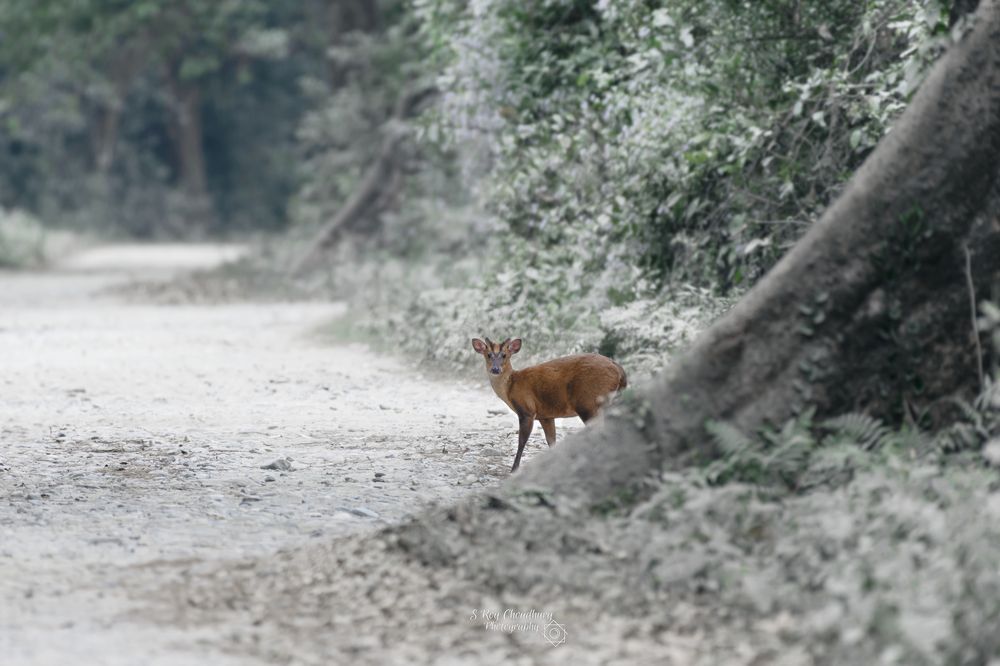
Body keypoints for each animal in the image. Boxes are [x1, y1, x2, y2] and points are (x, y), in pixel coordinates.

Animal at [471, 337, 628, 472]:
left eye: (504, 355)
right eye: (488, 355)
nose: (495, 369)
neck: (510, 387)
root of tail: (619, 370)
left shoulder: (527, 410)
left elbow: (522, 441)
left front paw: (514, 469)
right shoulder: (546, 416)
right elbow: (551, 441)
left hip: (588, 402)